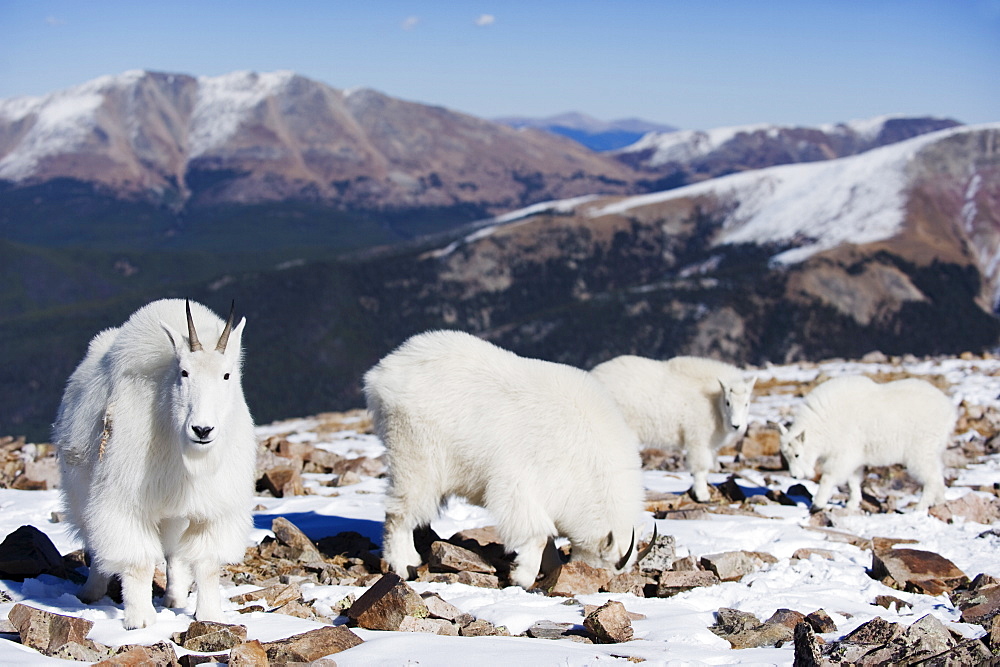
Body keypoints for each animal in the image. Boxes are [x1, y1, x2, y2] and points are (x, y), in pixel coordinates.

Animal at [52, 300, 256, 628]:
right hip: (81, 493)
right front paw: (141, 621)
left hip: (173, 514)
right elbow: (138, 563)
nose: (202, 430)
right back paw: (91, 592)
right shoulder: (127, 503)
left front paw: (210, 616)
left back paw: (174, 597)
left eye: (227, 375)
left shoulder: (213, 508)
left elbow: (207, 563)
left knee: (173, 553)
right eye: (184, 372)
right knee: (96, 543)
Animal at [364, 332, 652, 588]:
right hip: (414, 454)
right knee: (400, 511)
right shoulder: (521, 486)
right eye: (608, 563)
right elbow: (537, 535)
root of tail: (382, 373)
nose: (602, 581)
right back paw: (404, 563)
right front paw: (521, 577)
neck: (592, 468)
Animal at [588, 354, 752, 500]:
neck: (714, 402)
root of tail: (593, 375)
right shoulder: (698, 438)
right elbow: (700, 468)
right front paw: (702, 495)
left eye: (746, 403)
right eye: (728, 402)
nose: (736, 425)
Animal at [772, 376, 952, 512]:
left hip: (920, 450)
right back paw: (940, 502)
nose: (795, 476)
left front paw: (817, 505)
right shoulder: (855, 457)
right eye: (785, 456)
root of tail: (948, 410)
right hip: (933, 449)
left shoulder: (844, 453)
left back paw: (920, 507)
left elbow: (829, 477)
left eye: (797, 454)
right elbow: (853, 481)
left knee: (931, 477)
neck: (823, 425)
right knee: (937, 474)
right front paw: (852, 504)